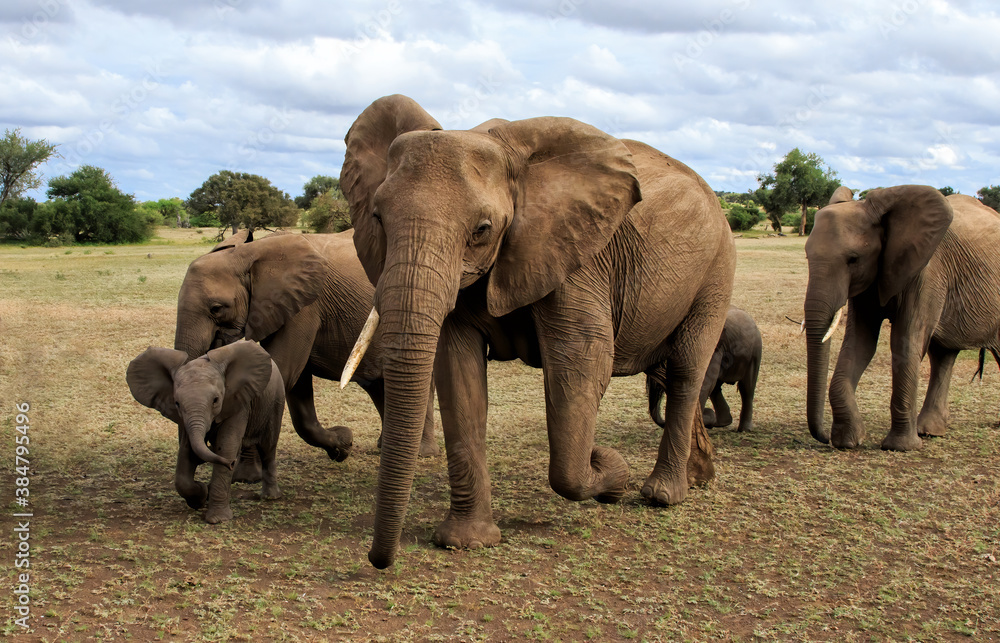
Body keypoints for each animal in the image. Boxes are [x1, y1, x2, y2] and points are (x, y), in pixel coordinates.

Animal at [126, 340, 284, 523]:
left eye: (215, 400)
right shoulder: (185, 420)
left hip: (275, 401)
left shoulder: (238, 403)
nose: (231, 463)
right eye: (177, 403)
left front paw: (217, 519)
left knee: (267, 448)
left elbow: (227, 446)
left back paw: (270, 497)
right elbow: (186, 453)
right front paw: (200, 496)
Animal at [172, 228, 438, 475]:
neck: (249, 255)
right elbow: (295, 386)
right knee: (379, 385)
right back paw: (387, 447)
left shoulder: (305, 308)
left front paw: (245, 476)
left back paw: (420, 453)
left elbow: (282, 372)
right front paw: (343, 446)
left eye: (217, 308)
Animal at [338, 94, 736, 568]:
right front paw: (467, 543)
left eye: (482, 230)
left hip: (716, 270)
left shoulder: (577, 256)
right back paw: (699, 478)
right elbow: (457, 373)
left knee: (686, 369)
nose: (379, 560)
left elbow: (582, 362)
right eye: (377, 218)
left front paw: (609, 470)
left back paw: (662, 496)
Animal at [804, 185, 1000, 450]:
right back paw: (929, 431)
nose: (824, 437)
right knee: (943, 355)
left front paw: (900, 447)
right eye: (807, 256)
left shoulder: (927, 272)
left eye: (853, 259)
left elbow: (905, 343)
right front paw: (848, 440)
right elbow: (859, 344)